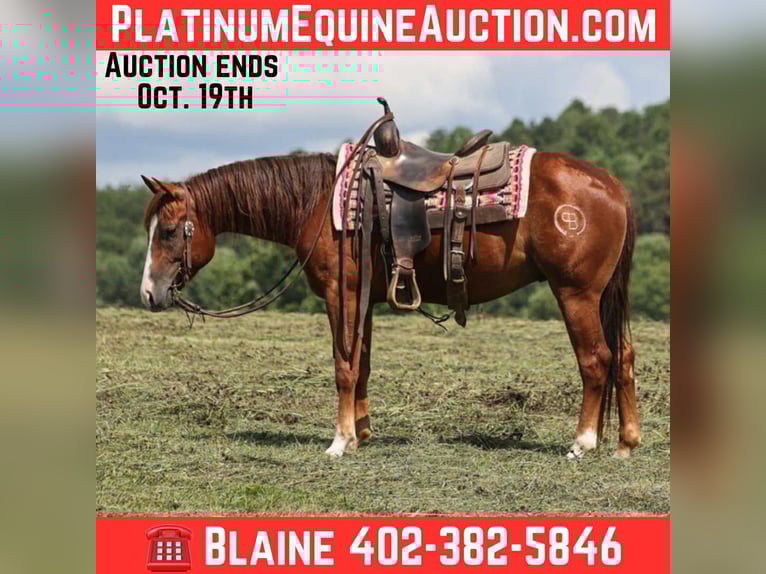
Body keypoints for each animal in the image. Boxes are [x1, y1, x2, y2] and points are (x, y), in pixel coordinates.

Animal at [139, 147, 639, 460]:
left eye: (169, 232)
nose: (149, 293)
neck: (319, 204)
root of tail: (614, 184)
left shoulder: (340, 294)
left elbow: (343, 366)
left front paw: (339, 441)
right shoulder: (363, 298)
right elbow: (362, 364)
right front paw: (361, 435)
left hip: (575, 293)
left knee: (596, 359)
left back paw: (583, 443)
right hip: (602, 297)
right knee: (625, 356)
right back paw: (626, 442)